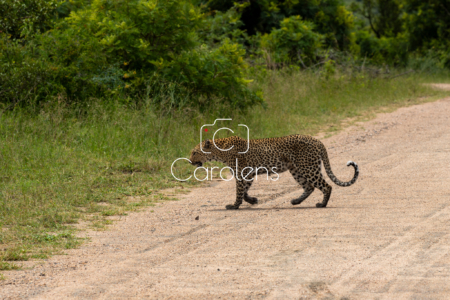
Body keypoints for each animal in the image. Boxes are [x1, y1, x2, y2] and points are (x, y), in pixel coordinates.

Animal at [189, 135, 358, 210]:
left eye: (194, 152)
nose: (189, 161)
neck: (219, 151)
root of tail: (317, 140)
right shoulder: (248, 174)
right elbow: (245, 190)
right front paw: (252, 200)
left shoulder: (241, 173)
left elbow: (239, 190)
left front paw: (234, 205)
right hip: (296, 169)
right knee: (309, 187)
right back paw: (296, 201)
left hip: (308, 167)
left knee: (326, 186)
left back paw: (322, 204)